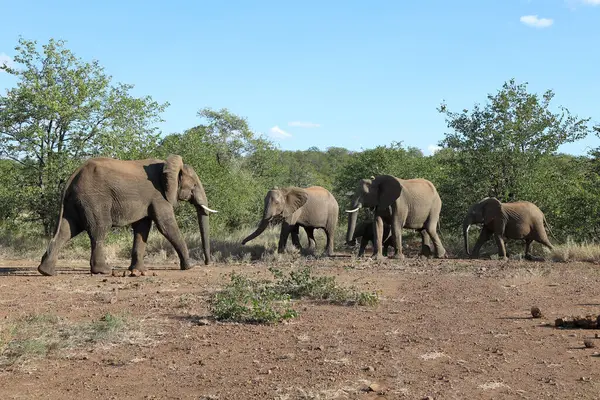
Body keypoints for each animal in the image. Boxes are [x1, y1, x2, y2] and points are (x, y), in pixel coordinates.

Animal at [36, 155, 217, 276]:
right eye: (194, 185)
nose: (208, 263)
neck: (169, 166)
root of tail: (71, 177)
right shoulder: (159, 196)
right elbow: (165, 225)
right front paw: (191, 266)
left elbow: (142, 228)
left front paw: (138, 271)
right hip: (93, 199)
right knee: (99, 229)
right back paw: (103, 270)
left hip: (76, 201)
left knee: (67, 230)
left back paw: (46, 271)